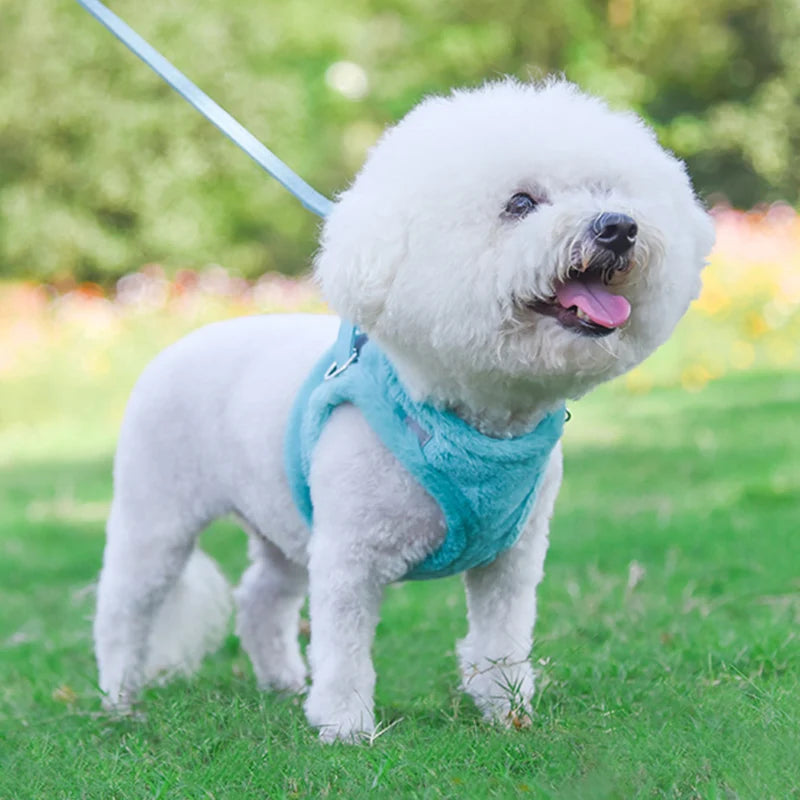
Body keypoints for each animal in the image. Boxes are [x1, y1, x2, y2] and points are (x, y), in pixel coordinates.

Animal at [94, 78, 712, 740]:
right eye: (520, 203)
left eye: (608, 192)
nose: (619, 227)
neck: (472, 419)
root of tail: (176, 347)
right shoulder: (349, 556)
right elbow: (344, 650)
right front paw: (344, 726)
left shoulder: (512, 558)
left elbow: (501, 639)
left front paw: (507, 712)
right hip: (158, 514)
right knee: (124, 607)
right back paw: (120, 699)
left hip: (283, 516)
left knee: (262, 596)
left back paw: (283, 682)